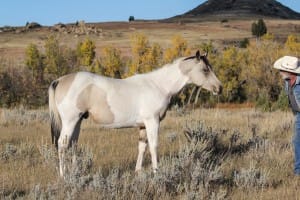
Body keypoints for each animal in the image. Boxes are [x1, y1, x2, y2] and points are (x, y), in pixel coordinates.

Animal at [49, 50, 221, 177]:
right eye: (205, 70)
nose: (219, 88)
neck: (159, 85)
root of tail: (60, 80)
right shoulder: (152, 121)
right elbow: (153, 146)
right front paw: (156, 172)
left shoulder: (143, 125)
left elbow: (142, 147)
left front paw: (138, 171)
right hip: (70, 121)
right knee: (62, 144)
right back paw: (64, 175)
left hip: (78, 121)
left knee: (73, 144)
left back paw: (75, 172)